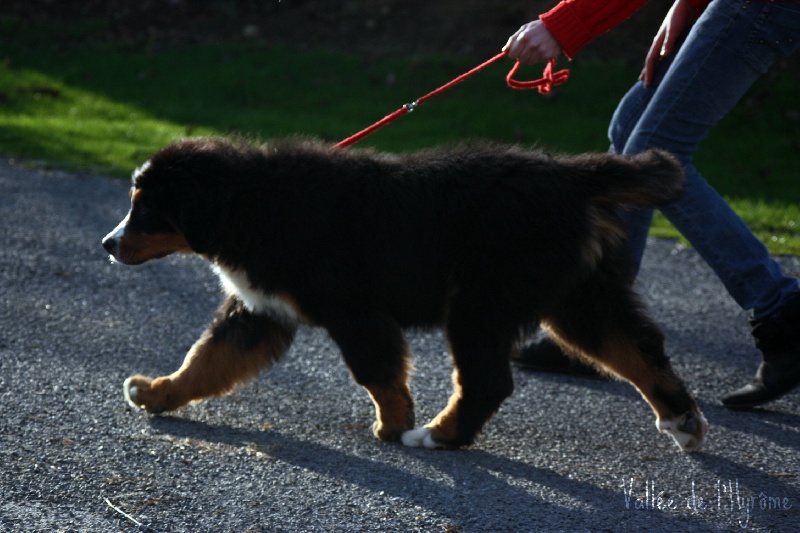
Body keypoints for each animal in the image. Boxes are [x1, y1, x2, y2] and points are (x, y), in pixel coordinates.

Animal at [103, 135, 708, 450]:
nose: (108, 244)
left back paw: (437, 436)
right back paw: (682, 420)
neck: (251, 206)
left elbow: (376, 372)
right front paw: (157, 393)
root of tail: (570, 176)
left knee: (489, 381)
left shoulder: (353, 308)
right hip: (576, 299)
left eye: (146, 208)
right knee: (639, 352)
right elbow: (205, 360)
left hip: (480, 299)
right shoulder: (258, 311)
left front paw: (393, 424)